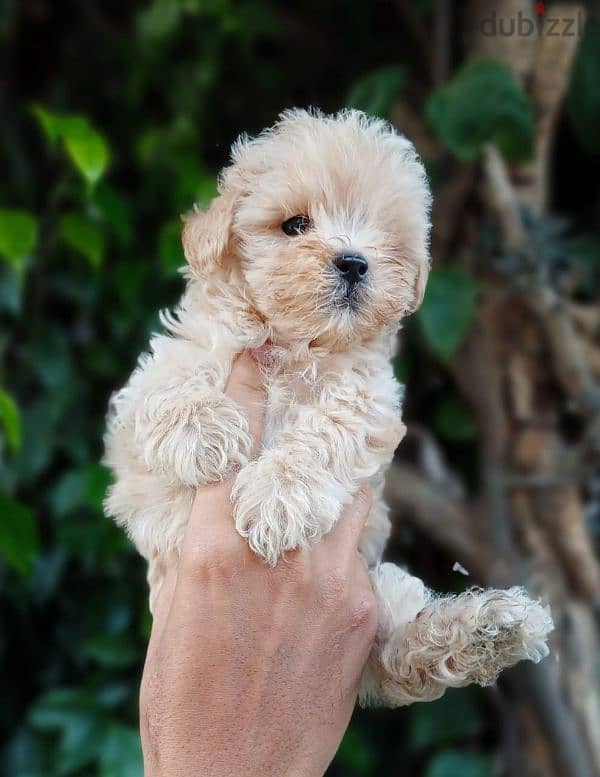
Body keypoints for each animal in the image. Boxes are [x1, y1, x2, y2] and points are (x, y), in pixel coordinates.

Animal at [104, 109, 552, 708]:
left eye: (383, 237)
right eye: (295, 225)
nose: (355, 262)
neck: (297, 346)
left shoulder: (370, 399)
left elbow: (327, 431)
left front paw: (276, 498)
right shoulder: (165, 370)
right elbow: (170, 382)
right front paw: (206, 433)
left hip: (379, 587)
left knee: (404, 650)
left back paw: (493, 625)